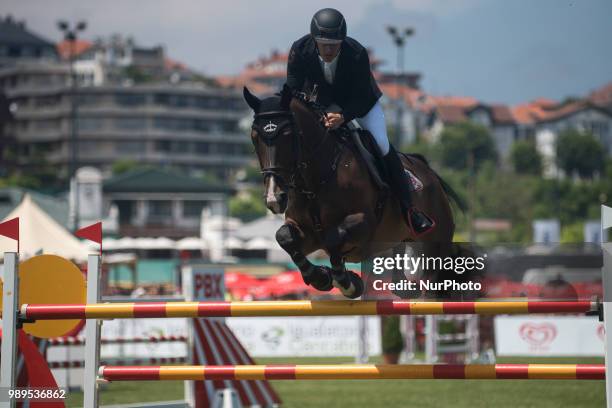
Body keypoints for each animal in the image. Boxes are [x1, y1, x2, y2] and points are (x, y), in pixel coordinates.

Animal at [244, 83, 464, 300]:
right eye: (254, 137)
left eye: (288, 136)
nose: (274, 197)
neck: (316, 181)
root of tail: (428, 171)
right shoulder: (304, 231)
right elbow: (285, 237)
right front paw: (321, 277)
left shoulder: (363, 222)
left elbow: (334, 238)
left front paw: (346, 282)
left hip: (436, 243)